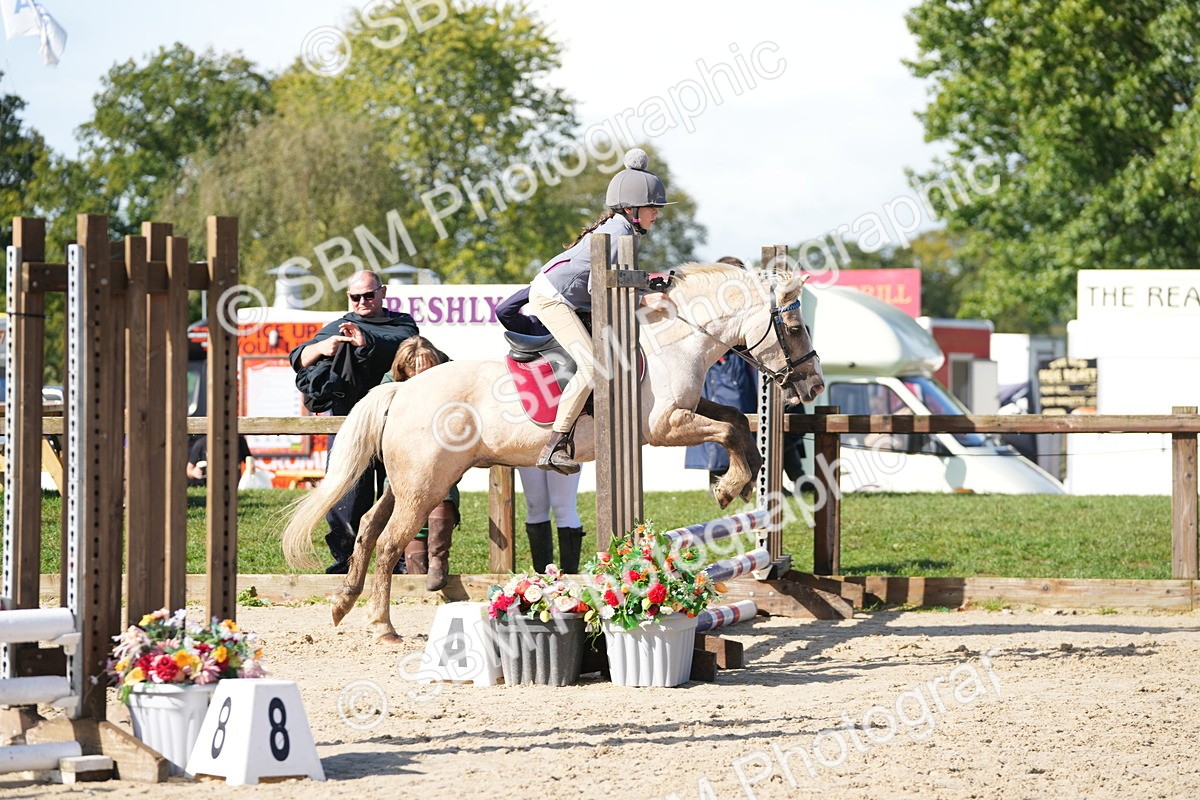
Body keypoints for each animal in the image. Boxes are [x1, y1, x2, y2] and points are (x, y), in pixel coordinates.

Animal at [281, 262, 825, 641]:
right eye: (797, 328)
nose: (814, 386)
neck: (674, 339)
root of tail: (401, 389)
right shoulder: (664, 427)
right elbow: (727, 432)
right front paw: (731, 486)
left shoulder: (687, 411)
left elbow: (735, 421)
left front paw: (743, 480)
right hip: (425, 484)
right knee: (391, 541)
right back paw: (382, 626)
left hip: (407, 482)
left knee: (368, 527)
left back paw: (343, 603)